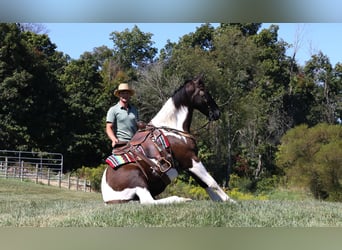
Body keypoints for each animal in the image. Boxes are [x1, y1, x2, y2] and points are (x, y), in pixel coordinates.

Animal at [100, 75, 236, 204]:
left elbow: (205, 184)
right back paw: (181, 199)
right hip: (137, 178)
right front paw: (231, 201)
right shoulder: (191, 159)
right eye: (203, 91)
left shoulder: (188, 164)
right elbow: (212, 182)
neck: (172, 128)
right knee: (148, 201)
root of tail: (108, 198)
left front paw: (221, 201)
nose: (217, 113)